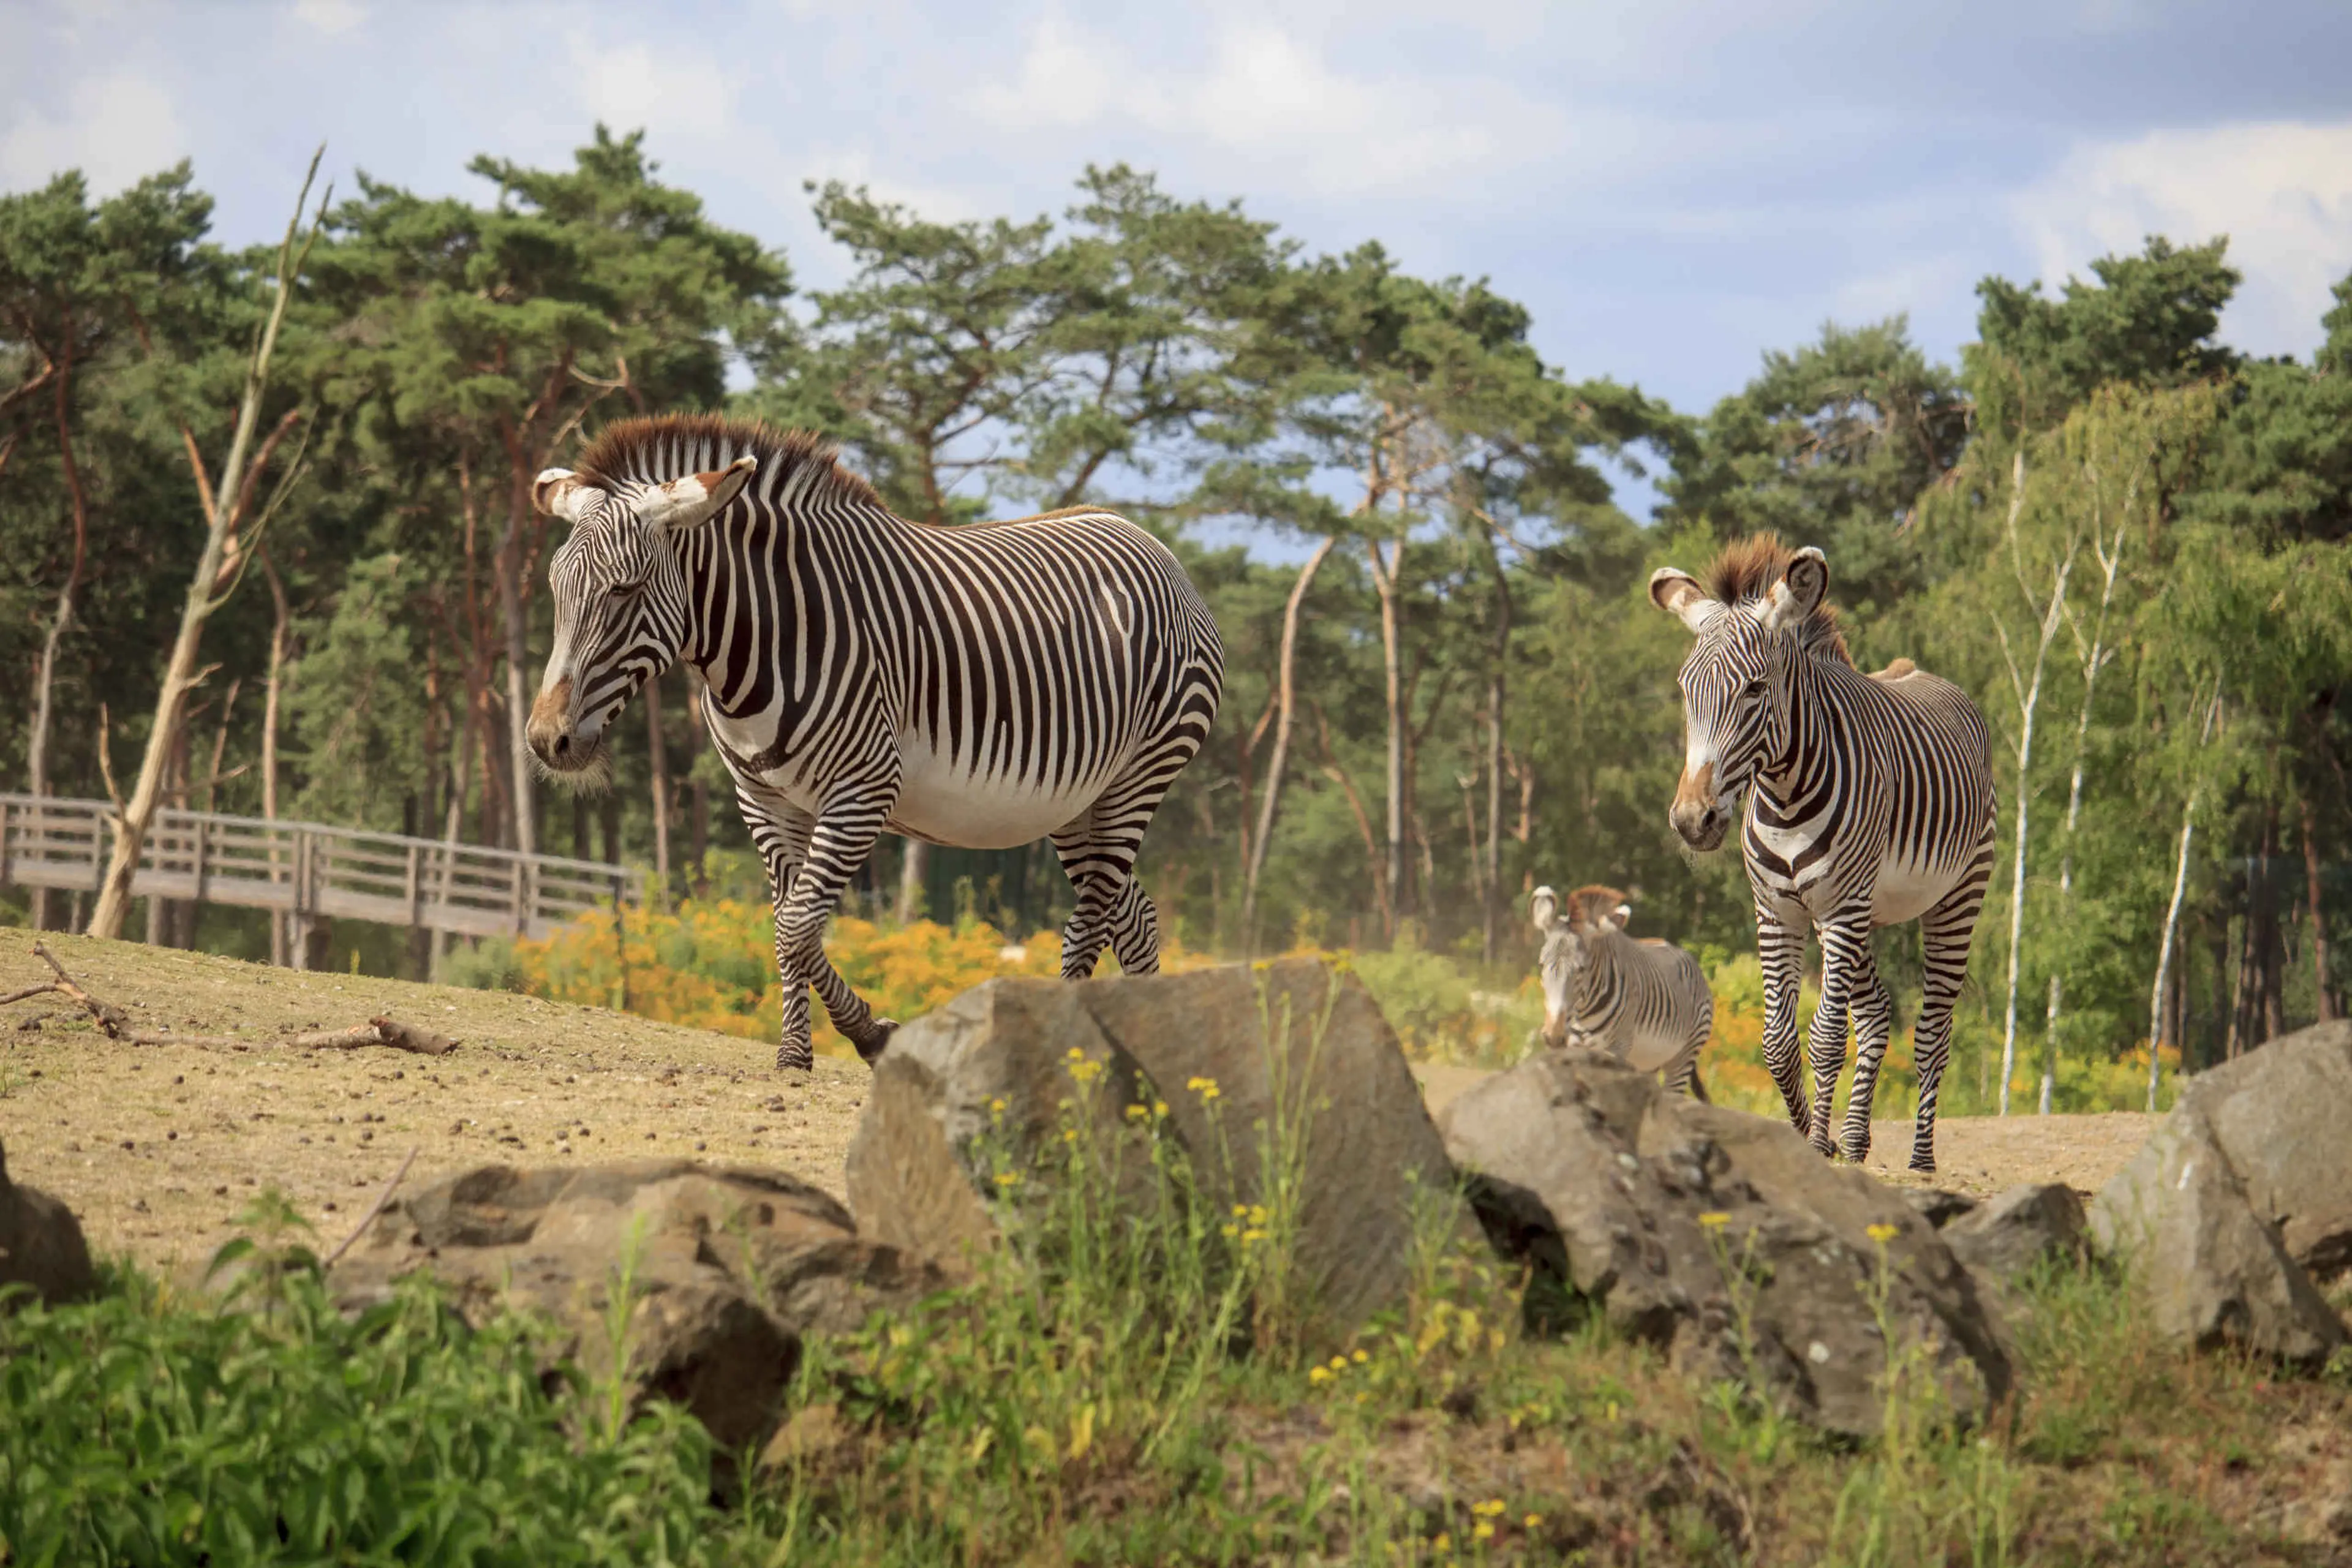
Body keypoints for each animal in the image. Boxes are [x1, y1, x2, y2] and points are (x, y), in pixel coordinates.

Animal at [522, 413, 1224, 1073]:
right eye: (555, 589)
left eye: (625, 589)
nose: (546, 741)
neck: (769, 638)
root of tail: (1148, 540)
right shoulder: (765, 798)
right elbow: (786, 922)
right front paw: (796, 1053)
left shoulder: (863, 790)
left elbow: (798, 927)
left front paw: (869, 1035)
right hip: (1078, 803)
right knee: (1134, 918)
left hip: (1141, 773)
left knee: (1092, 916)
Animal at [1529, 884, 1713, 1100]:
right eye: (1541, 964)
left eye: (1581, 969)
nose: (1554, 1036)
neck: (1583, 1013)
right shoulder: (1575, 1047)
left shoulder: (1618, 1048)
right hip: (1647, 1062)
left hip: (1683, 1058)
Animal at [1649, 535, 1995, 1173]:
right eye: (1686, 690)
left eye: (1755, 688)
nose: (1692, 820)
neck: (1784, 795)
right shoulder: (1778, 911)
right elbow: (1778, 1043)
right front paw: (1818, 1138)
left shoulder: (1839, 911)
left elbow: (1828, 1036)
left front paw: (1816, 1145)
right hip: (1865, 911)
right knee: (1879, 1012)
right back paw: (1856, 1142)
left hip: (1955, 896)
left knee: (1934, 1029)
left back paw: (1921, 1159)